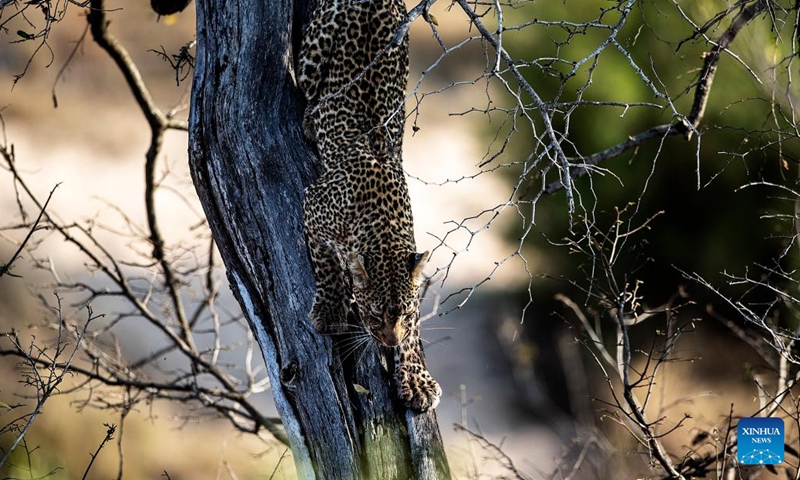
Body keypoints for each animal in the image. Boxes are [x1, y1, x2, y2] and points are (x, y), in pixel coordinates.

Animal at [297, 0, 442, 412]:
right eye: (375, 313)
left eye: (404, 313)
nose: (390, 341)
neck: (383, 227)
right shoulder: (313, 206)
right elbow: (327, 266)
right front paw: (329, 311)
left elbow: (415, 333)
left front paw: (416, 378)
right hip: (314, 51)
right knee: (307, 89)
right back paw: (309, 121)